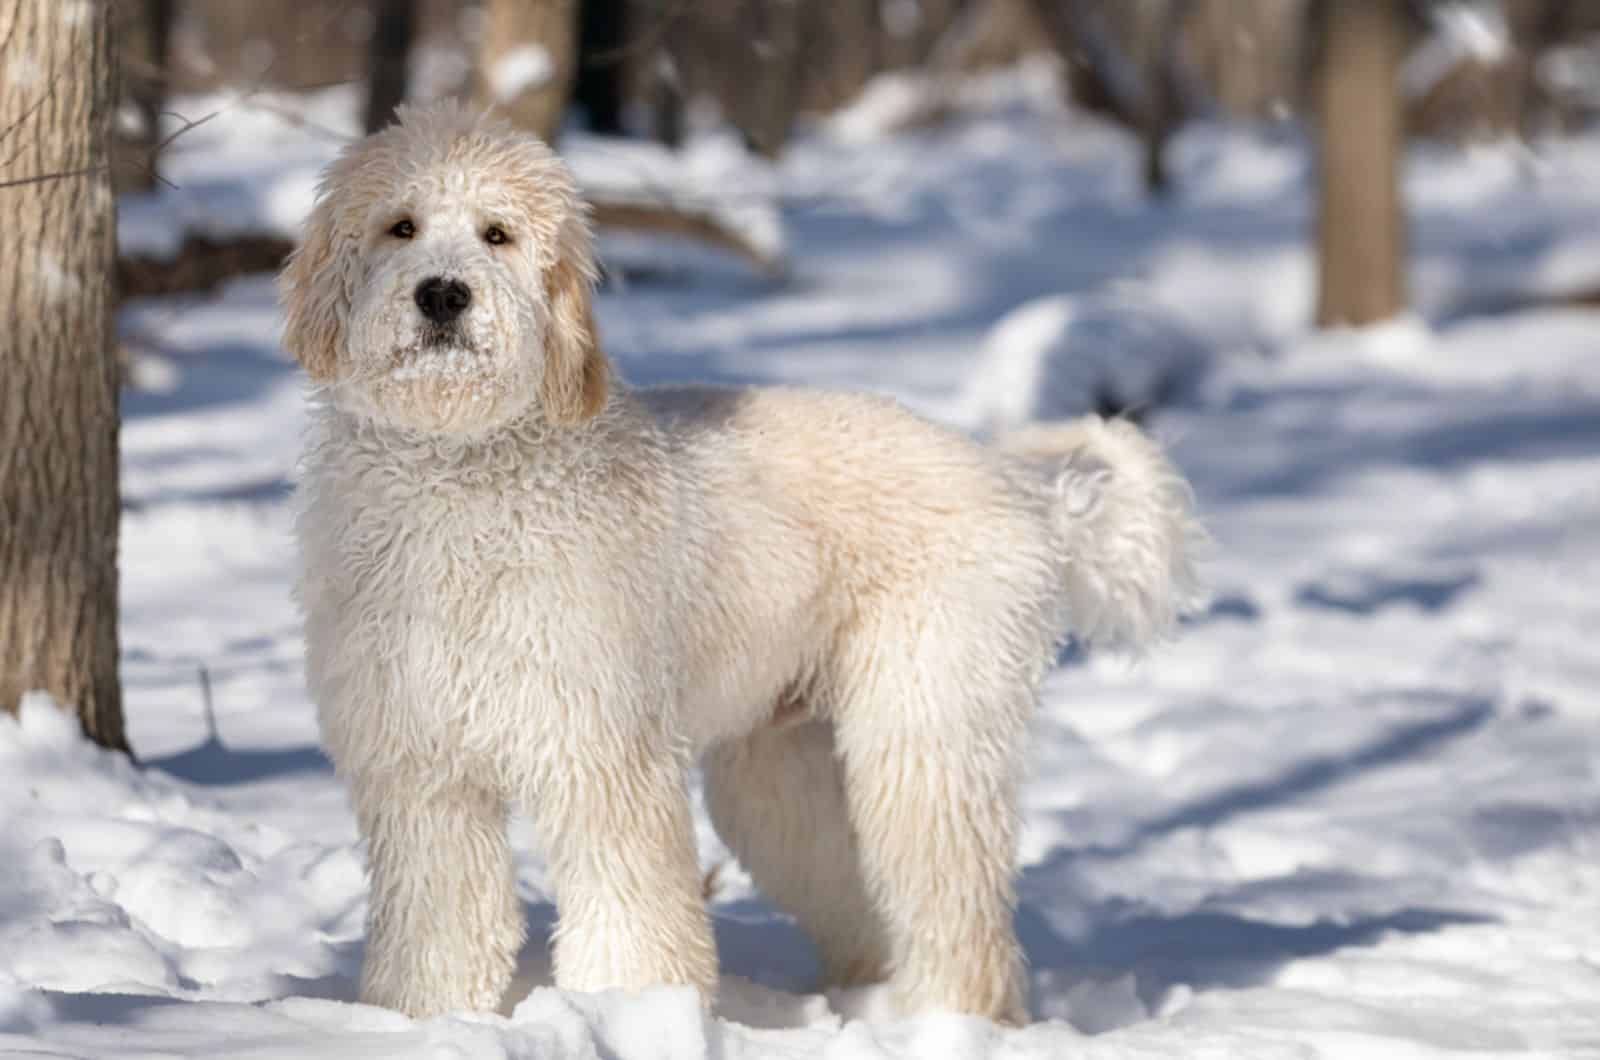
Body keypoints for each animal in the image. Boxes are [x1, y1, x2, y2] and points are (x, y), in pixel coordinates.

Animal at [281, 104, 1203, 1024]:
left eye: (497, 234)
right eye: (400, 225)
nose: (442, 293)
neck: (461, 468)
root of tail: (1020, 488)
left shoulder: (603, 752)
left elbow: (628, 910)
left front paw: (629, 1012)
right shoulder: (420, 768)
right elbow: (439, 920)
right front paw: (419, 1016)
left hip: (923, 730)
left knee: (954, 909)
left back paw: (946, 1018)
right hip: (783, 766)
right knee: (852, 891)